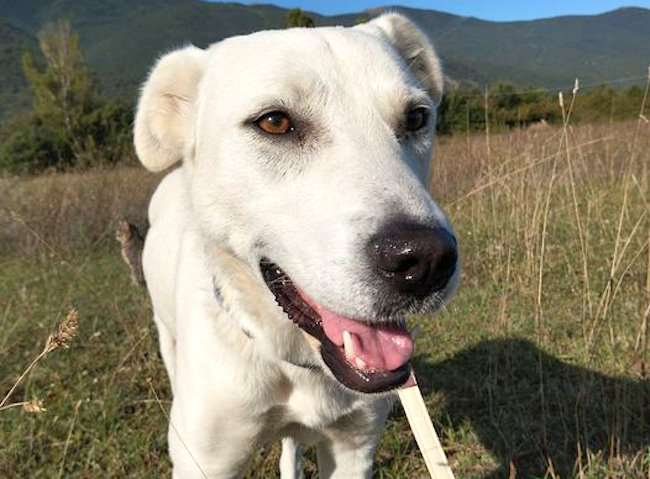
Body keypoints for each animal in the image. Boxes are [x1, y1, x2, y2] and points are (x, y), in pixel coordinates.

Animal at [133, 15, 456, 479]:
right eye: (274, 122)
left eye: (416, 117)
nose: (427, 261)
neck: (295, 359)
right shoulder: (206, 461)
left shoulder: (353, 449)